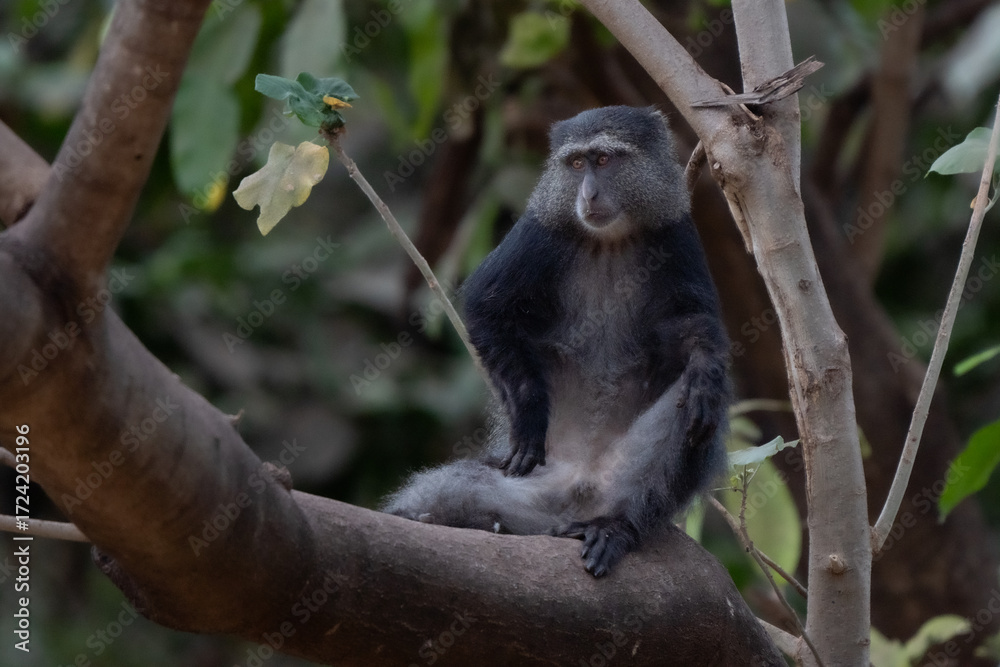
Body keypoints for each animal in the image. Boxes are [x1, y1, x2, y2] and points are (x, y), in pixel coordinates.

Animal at [382, 106, 730, 577]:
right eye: (577, 164)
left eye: (603, 160)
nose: (589, 195)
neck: (609, 240)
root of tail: (575, 494)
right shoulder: (538, 231)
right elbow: (487, 307)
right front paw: (530, 416)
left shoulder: (677, 232)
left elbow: (696, 328)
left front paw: (705, 371)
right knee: (449, 490)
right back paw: (428, 518)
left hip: (619, 483)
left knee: (692, 412)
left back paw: (614, 527)